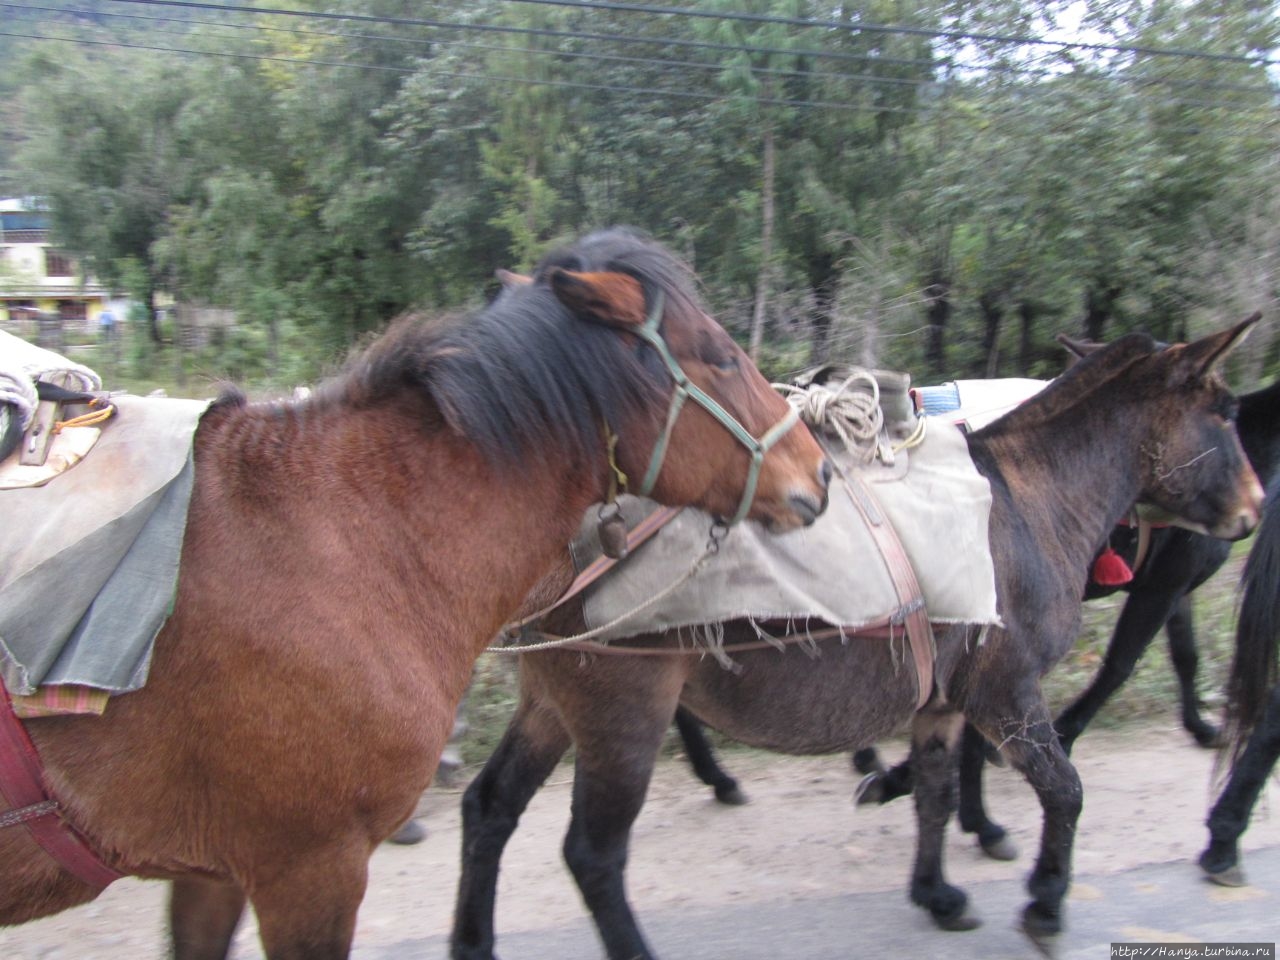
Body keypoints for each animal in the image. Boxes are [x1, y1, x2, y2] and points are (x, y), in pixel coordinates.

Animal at [450, 320, 1259, 957]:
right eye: (1223, 413)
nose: (1255, 509)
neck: (1028, 504)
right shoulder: (1007, 693)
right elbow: (1065, 791)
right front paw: (1045, 903)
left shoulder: (944, 701)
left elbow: (935, 793)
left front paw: (936, 891)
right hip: (622, 716)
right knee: (593, 856)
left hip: (555, 703)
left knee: (490, 808)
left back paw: (472, 942)